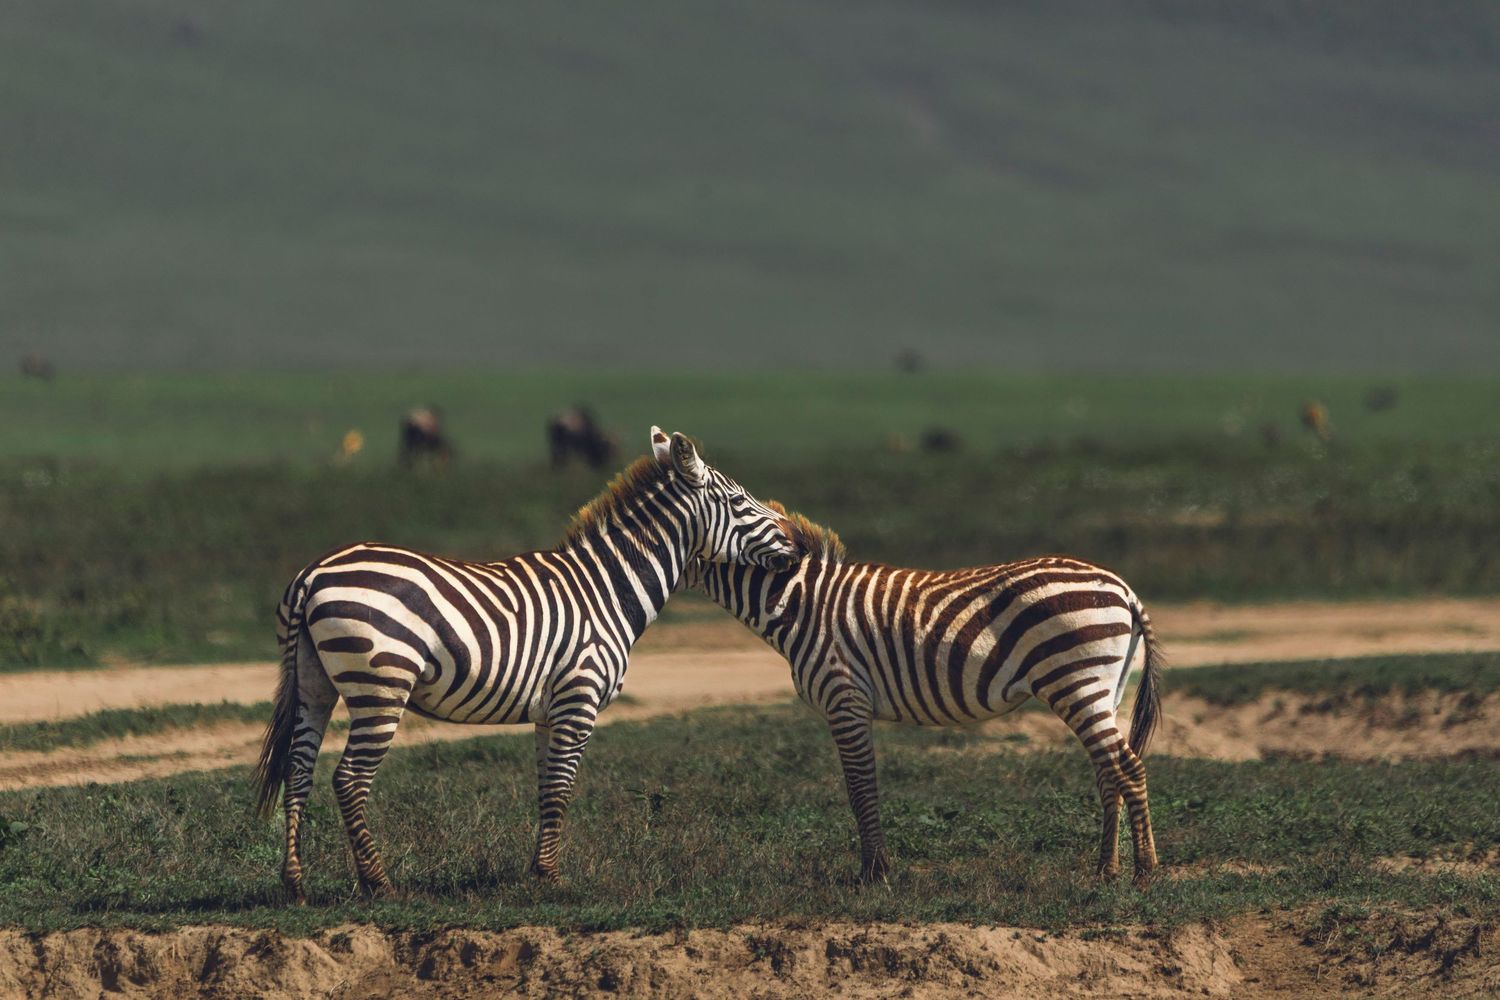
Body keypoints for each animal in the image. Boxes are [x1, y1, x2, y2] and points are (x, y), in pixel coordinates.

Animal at [253, 428, 799, 902]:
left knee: (298, 769)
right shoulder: (578, 699)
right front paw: (551, 879)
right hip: (380, 685)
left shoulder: (549, 712)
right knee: (348, 779)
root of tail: (312, 573)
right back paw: (379, 884)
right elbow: (561, 789)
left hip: (313, 684)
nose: (795, 541)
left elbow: (546, 789)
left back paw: (295, 885)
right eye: (740, 501)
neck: (608, 590)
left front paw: (538, 870)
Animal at [684, 505, 1165, 886]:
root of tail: (1124, 589)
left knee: (1127, 767)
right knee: (1109, 771)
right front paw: (875, 870)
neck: (797, 601)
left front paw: (872, 875)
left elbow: (860, 788)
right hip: (1104, 689)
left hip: (1076, 680)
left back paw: (1144, 873)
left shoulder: (845, 697)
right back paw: (1106, 870)